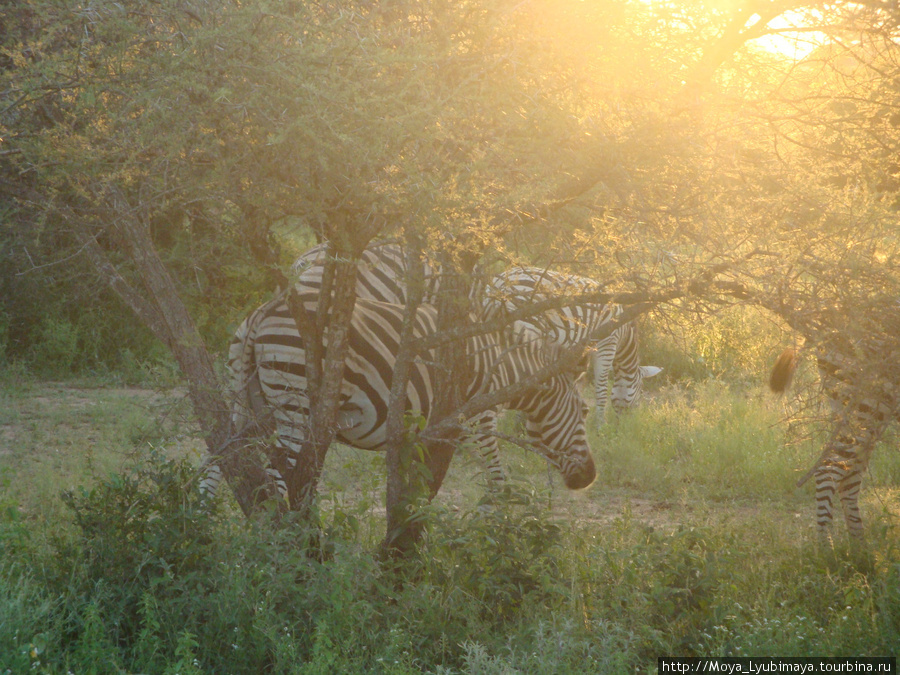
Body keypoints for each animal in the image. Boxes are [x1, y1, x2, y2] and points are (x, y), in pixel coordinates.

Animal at [214, 286, 596, 502]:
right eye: (586, 411)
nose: (590, 477)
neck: (502, 365)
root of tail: (266, 309)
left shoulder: (419, 432)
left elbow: (415, 483)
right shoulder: (478, 418)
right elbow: (496, 477)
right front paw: (502, 532)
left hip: (249, 401)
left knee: (223, 465)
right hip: (295, 406)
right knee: (279, 480)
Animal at [486, 268, 660, 422]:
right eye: (640, 391)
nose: (626, 425)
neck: (624, 333)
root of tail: (499, 283)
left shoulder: (581, 350)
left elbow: (574, 382)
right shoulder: (607, 343)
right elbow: (601, 388)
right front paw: (600, 426)